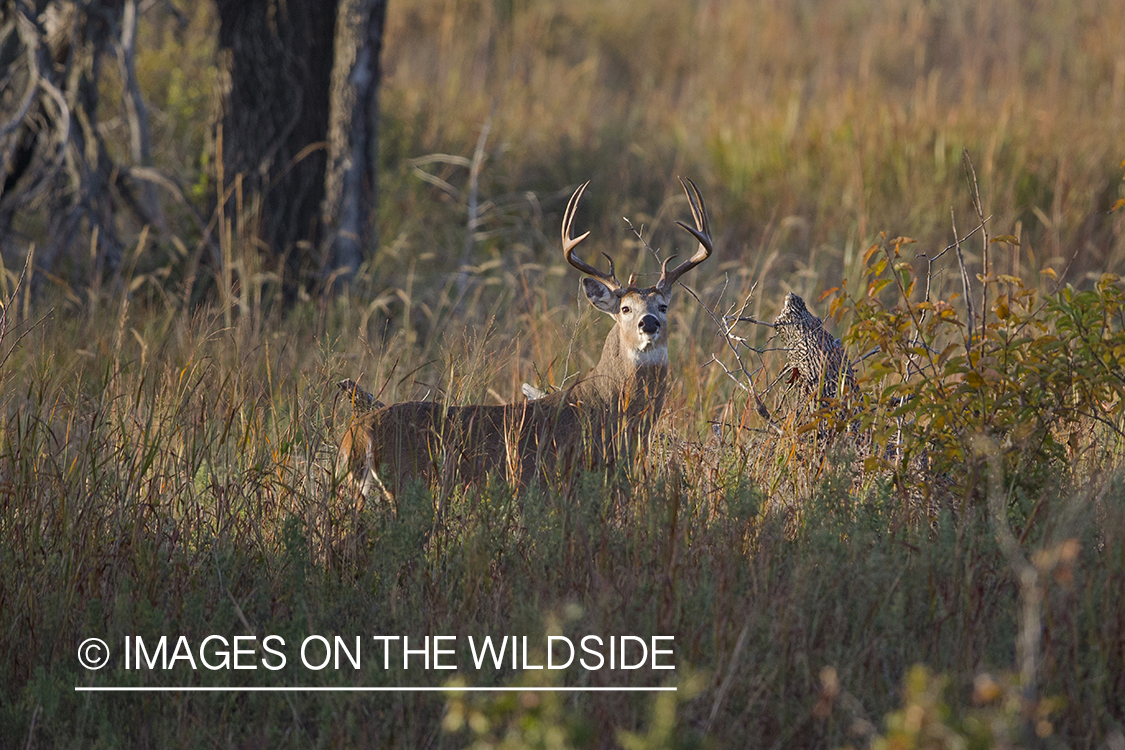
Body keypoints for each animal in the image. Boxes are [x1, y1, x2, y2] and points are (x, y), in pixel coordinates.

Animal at [337, 178, 715, 501]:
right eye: (624, 308)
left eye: (663, 305)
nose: (648, 323)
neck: (606, 409)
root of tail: (356, 434)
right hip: (406, 485)